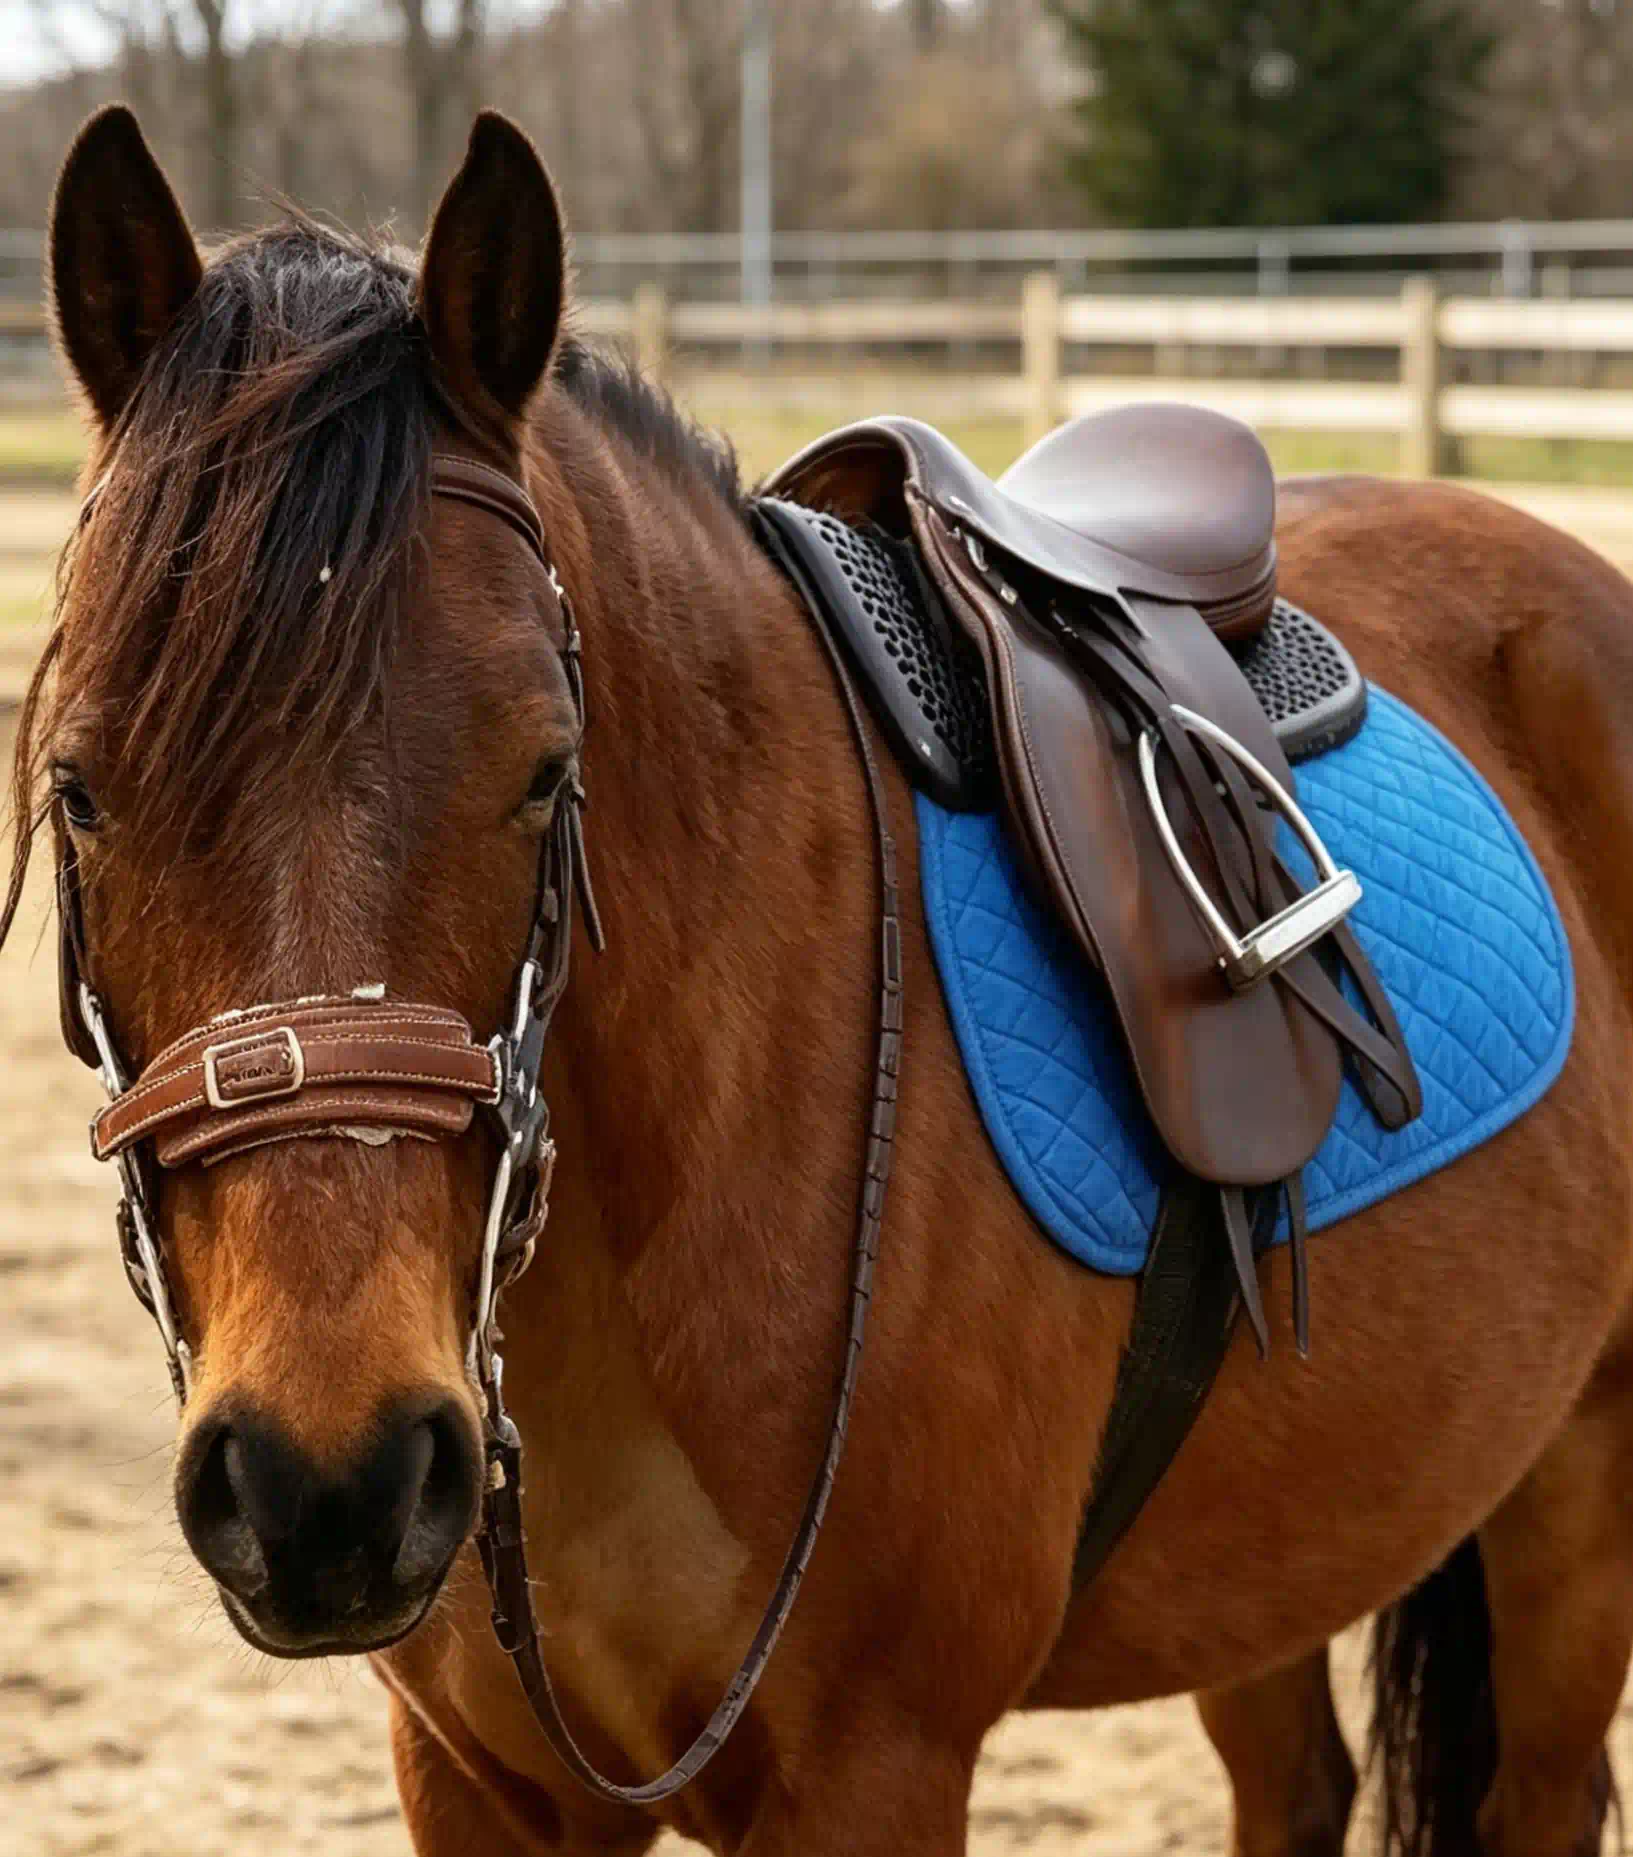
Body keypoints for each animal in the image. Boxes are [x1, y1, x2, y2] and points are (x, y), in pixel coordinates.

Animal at [13, 100, 1633, 1857]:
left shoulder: (879, 1766)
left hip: (1575, 1489)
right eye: (80, 789)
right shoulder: (476, 1777)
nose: (328, 1484)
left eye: (545, 772)